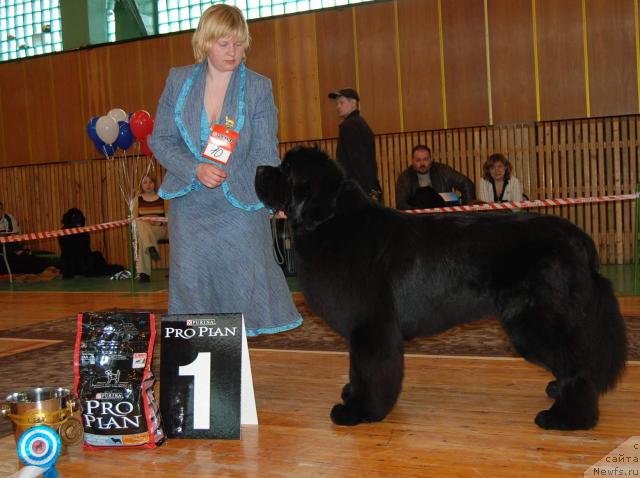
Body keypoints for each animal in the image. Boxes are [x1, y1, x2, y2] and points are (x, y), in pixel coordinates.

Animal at [255, 146, 624, 430]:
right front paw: (353, 395)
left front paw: (361, 410)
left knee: (577, 364)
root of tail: (579, 238)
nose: (258, 168)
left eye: (286, 169)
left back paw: (568, 417)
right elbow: (358, 368)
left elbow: (371, 370)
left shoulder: (372, 326)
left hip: (534, 320)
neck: (331, 221)